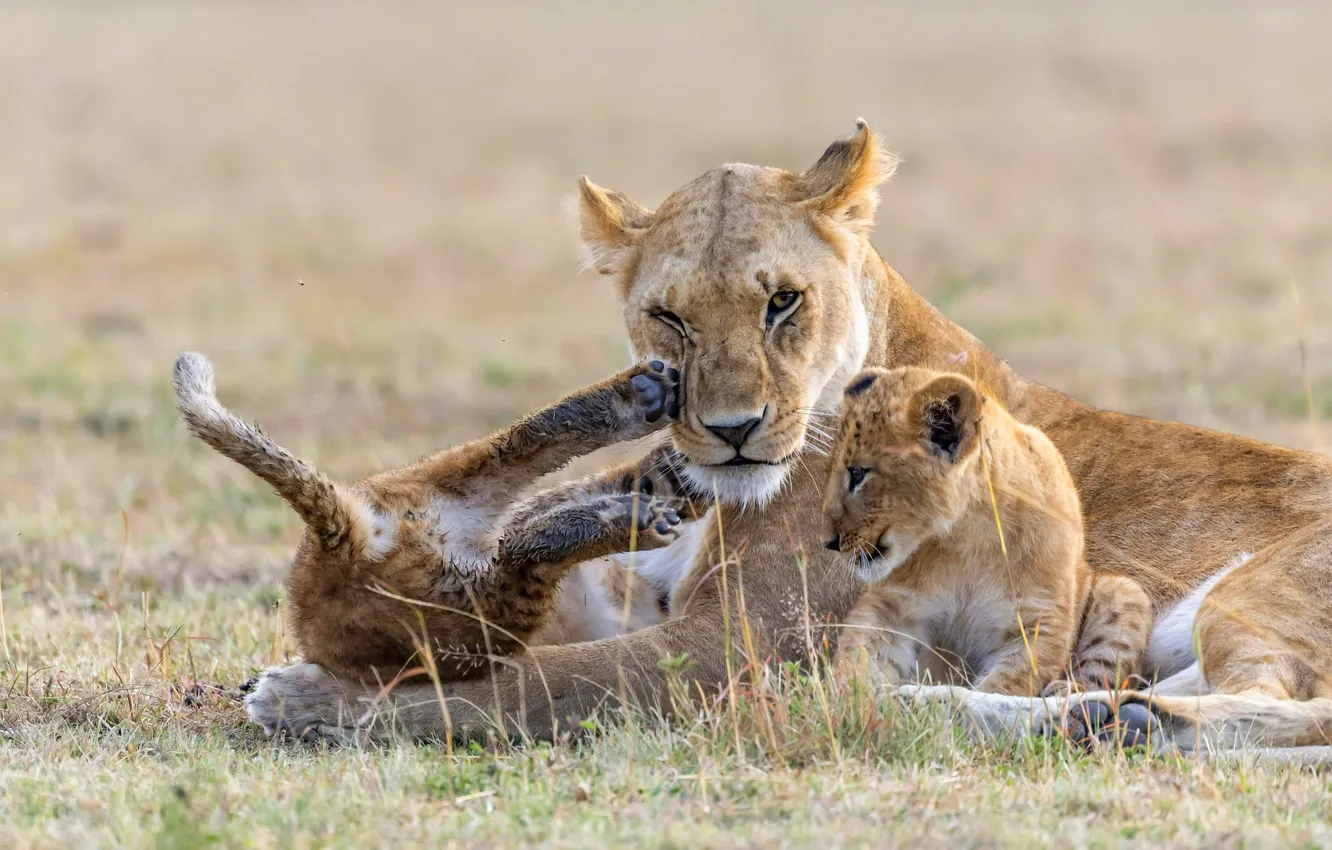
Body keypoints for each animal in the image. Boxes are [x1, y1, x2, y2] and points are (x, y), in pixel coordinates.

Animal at [173, 351, 693, 684]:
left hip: (447, 482)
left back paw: (642, 401)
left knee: (525, 441)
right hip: (475, 619)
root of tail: (341, 540)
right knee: (522, 550)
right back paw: (634, 515)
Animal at [825, 366, 1152, 697]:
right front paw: (850, 698)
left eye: (857, 474)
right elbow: (861, 654)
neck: (969, 536)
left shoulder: (1040, 622)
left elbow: (1001, 688)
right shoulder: (893, 604)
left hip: (1125, 594)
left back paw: (1063, 692)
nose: (829, 543)